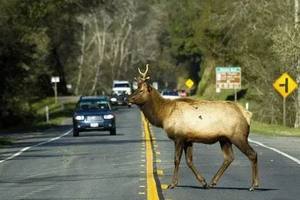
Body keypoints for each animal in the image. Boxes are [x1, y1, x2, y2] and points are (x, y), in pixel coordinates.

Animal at [129, 64, 260, 191]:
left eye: (141, 90)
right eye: (136, 88)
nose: (128, 98)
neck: (163, 115)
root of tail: (247, 114)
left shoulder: (179, 137)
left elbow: (176, 160)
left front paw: (172, 184)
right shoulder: (188, 140)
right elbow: (189, 161)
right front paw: (203, 182)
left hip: (238, 136)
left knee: (252, 154)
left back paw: (254, 185)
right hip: (224, 139)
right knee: (229, 157)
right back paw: (213, 182)